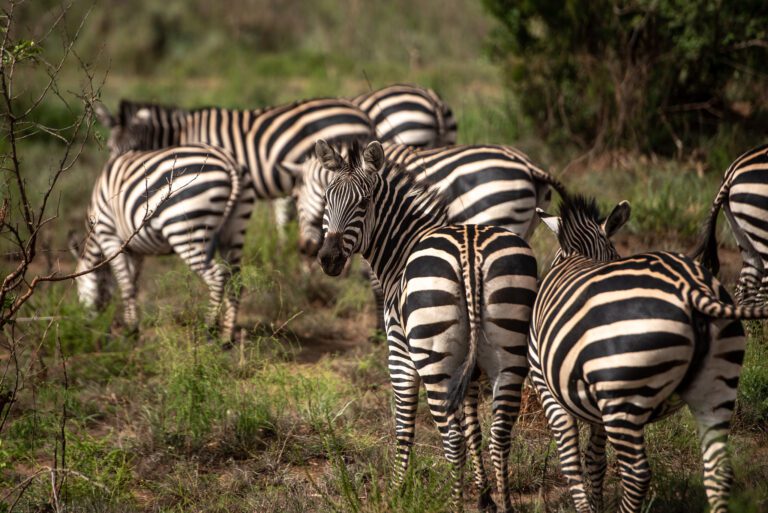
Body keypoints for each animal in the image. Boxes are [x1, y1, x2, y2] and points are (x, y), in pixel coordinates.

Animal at [67, 142, 250, 340]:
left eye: (78, 285)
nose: (86, 326)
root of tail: (227, 160)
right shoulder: (134, 249)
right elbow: (133, 284)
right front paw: (133, 324)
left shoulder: (109, 236)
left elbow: (125, 284)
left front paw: (131, 329)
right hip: (234, 228)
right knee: (236, 280)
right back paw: (226, 336)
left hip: (185, 230)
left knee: (217, 277)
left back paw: (209, 329)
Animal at [284, 142, 560, 330]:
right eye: (327, 199)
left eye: (296, 197)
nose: (321, 255)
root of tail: (527, 163)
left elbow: (374, 283)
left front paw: (379, 331)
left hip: (499, 217)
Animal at [316, 139, 536, 512]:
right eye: (327, 200)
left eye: (363, 203)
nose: (328, 259)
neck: (403, 248)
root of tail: (470, 252)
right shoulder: (469, 366)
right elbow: (474, 426)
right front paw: (485, 496)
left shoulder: (399, 351)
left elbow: (404, 425)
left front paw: (397, 491)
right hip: (509, 347)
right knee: (500, 434)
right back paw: (505, 503)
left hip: (432, 356)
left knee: (452, 439)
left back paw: (453, 505)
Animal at [536, 193, 768, 512]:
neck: (579, 256)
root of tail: (691, 288)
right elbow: (595, 458)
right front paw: (595, 503)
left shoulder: (545, 382)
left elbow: (570, 458)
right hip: (717, 382)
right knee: (718, 468)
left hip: (623, 396)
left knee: (637, 474)